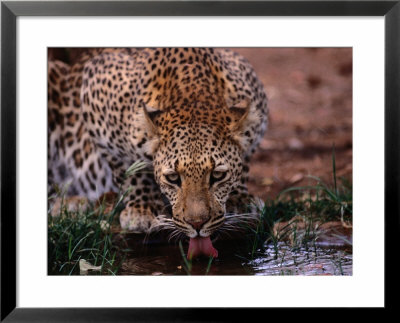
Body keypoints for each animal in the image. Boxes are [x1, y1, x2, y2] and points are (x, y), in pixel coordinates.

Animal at [49, 48, 268, 260]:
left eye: (218, 175)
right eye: (173, 178)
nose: (197, 225)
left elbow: (244, 160)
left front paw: (240, 200)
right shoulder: (95, 86)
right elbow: (129, 170)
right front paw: (143, 209)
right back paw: (69, 204)